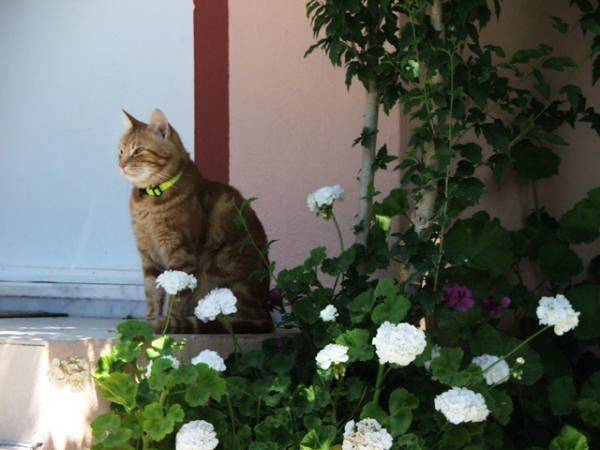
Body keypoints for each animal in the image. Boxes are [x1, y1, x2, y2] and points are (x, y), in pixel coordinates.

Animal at [118, 109, 274, 334]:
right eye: (121, 151)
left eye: (138, 150)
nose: (120, 165)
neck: (149, 201)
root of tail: (266, 312)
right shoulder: (149, 257)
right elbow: (152, 294)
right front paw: (148, 322)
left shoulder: (181, 255)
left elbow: (175, 298)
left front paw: (167, 325)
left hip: (224, 272)